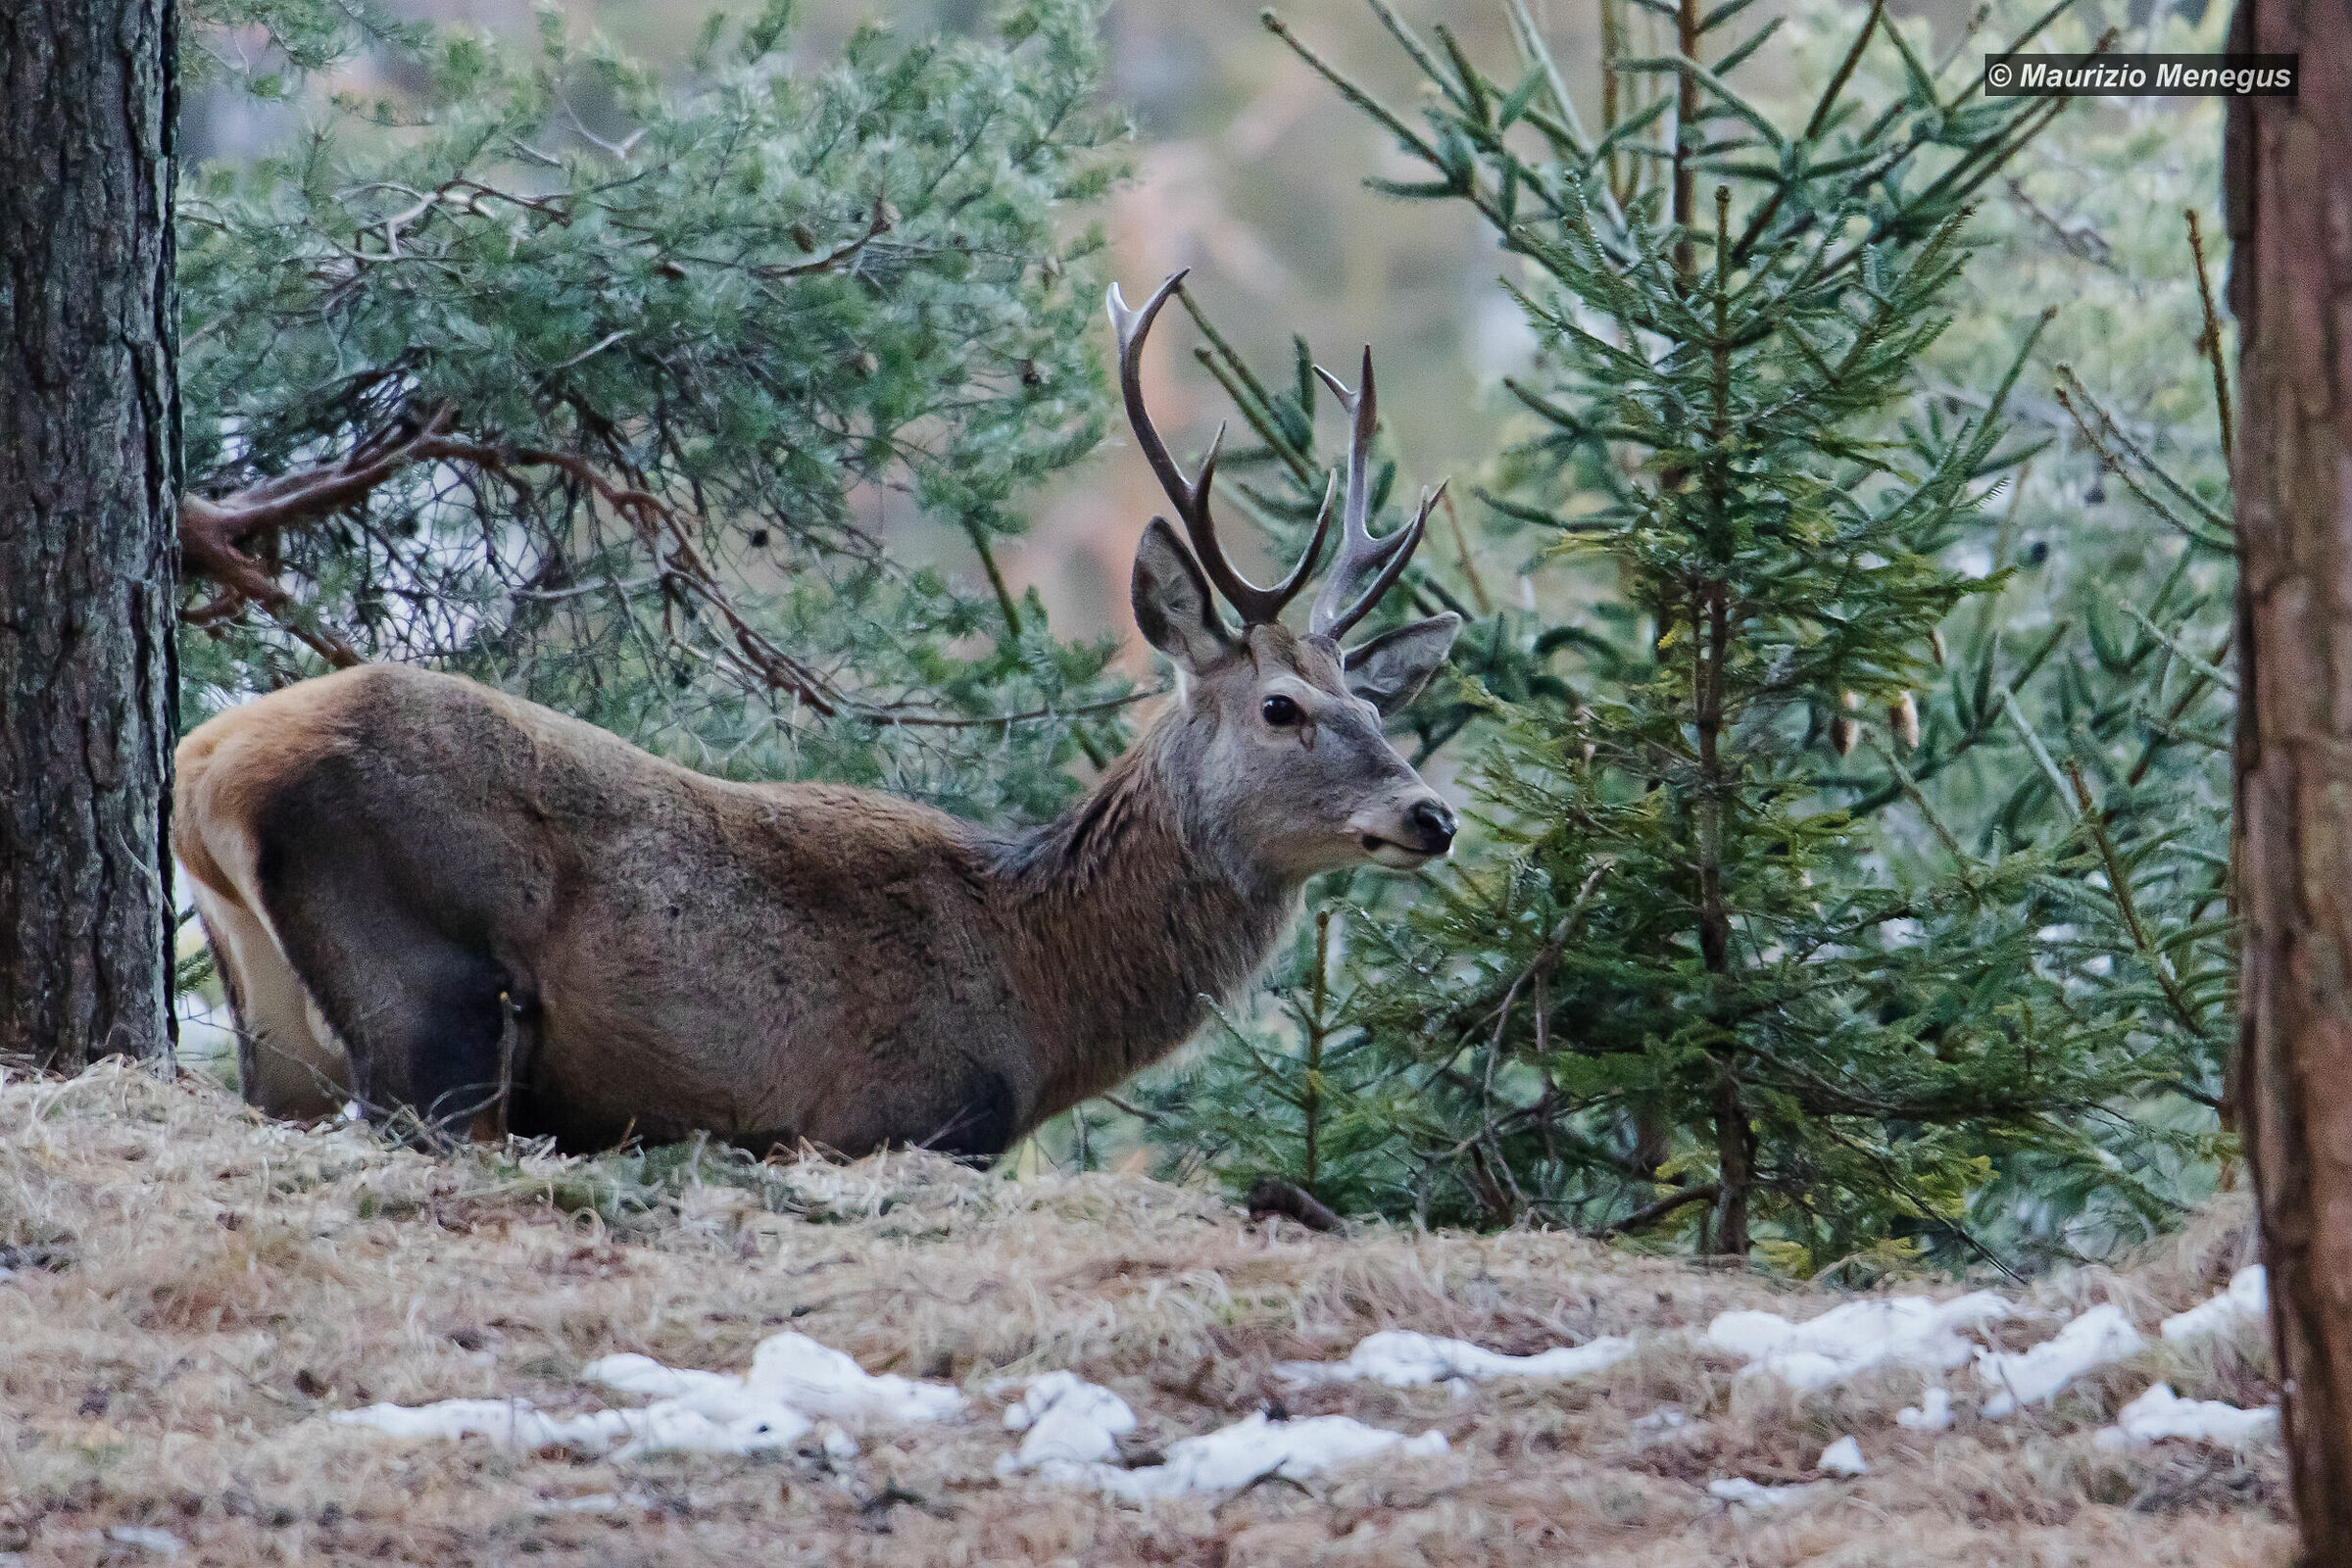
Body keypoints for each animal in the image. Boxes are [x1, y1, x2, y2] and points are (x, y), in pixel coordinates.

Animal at [171, 273, 1462, 1158]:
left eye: (1374, 703)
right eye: (1282, 707)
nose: (1432, 814)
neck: (1037, 989)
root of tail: (205, 768)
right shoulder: (905, 1120)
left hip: (274, 1019)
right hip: (428, 989)